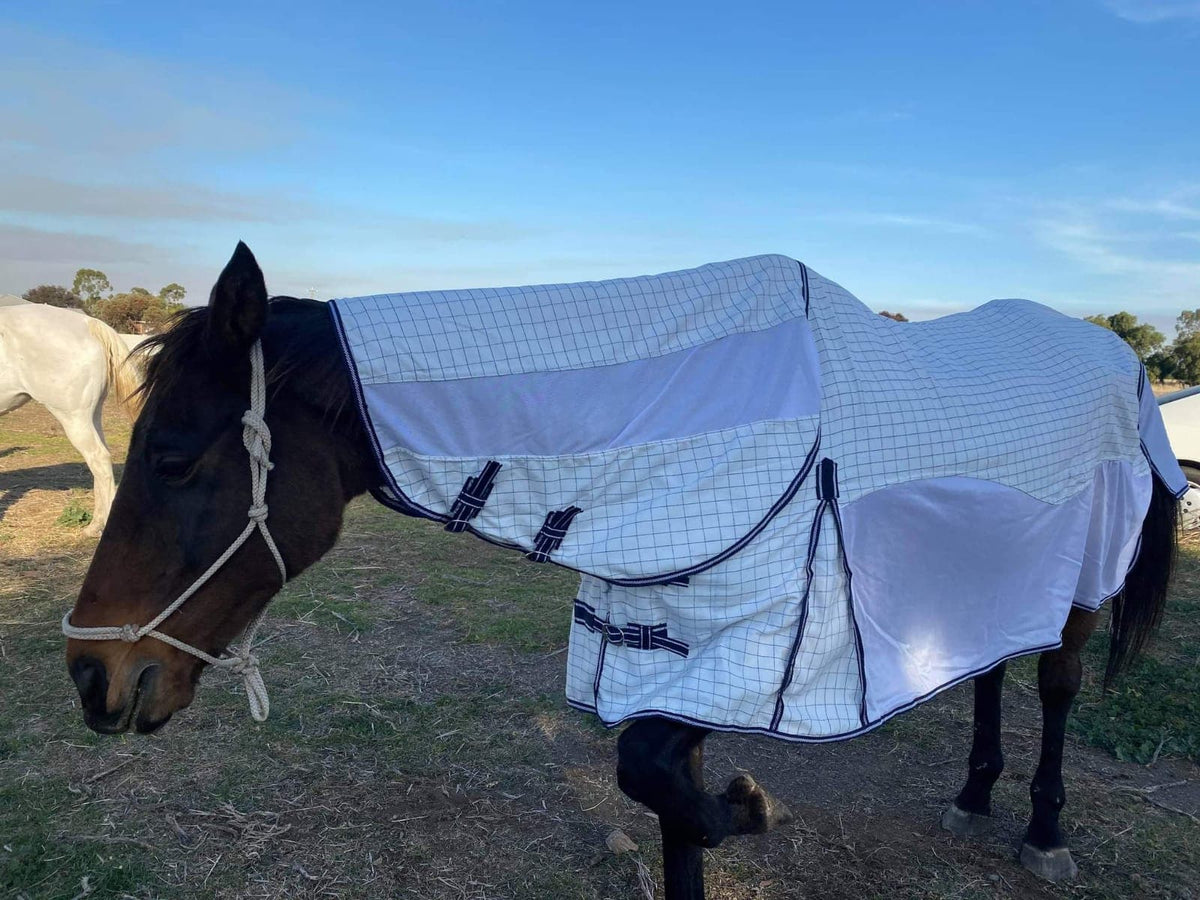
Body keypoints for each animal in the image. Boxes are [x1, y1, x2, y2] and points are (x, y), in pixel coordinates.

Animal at [63, 244, 1179, 899]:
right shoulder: (657, 651)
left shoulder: (744, 651)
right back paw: (976, 792)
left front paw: (749, 805)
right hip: (995, 579)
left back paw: (1041, 827)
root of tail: (1120, 361)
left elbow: (658, 781)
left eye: (172, 457)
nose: (90, 677)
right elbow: (662, 801)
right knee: (991, 667)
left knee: (1056, 682)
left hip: (1082, 584)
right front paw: (729, 815)